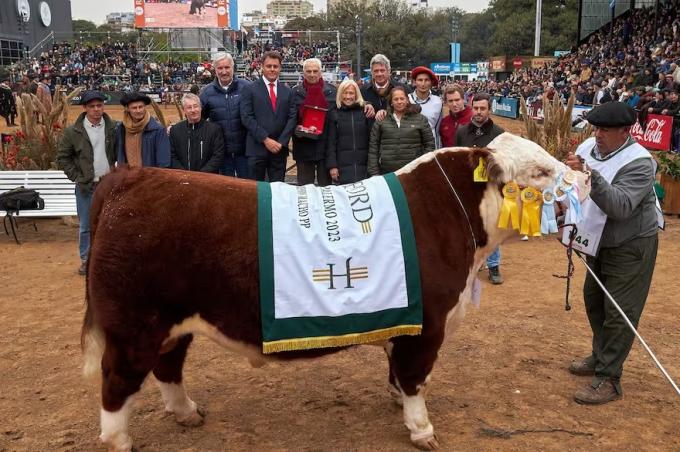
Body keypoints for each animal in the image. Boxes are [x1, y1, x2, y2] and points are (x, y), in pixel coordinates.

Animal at [81, 132, 588, 450]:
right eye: (541, 171)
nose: (585, 180)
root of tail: (131, 178)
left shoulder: (404, 320)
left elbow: (398, 372)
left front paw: (397, 401)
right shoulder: (427, 326)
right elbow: (416, 378)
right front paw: (421, 429)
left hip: (173, 323)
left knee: (168, 367)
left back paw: (186, 412)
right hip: (134, 326)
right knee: (117, 382)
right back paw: (120, 440)